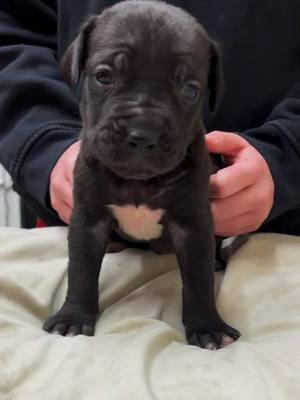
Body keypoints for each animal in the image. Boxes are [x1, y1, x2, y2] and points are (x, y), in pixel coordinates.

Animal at [43, 0, 240, 348]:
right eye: (103, 76)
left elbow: (198, 280)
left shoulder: (194, 226)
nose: (143, 132)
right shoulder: (87, 220)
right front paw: (73, 317)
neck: (138, 182)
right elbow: (80, 271)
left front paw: (207, 326)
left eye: (190, 90)